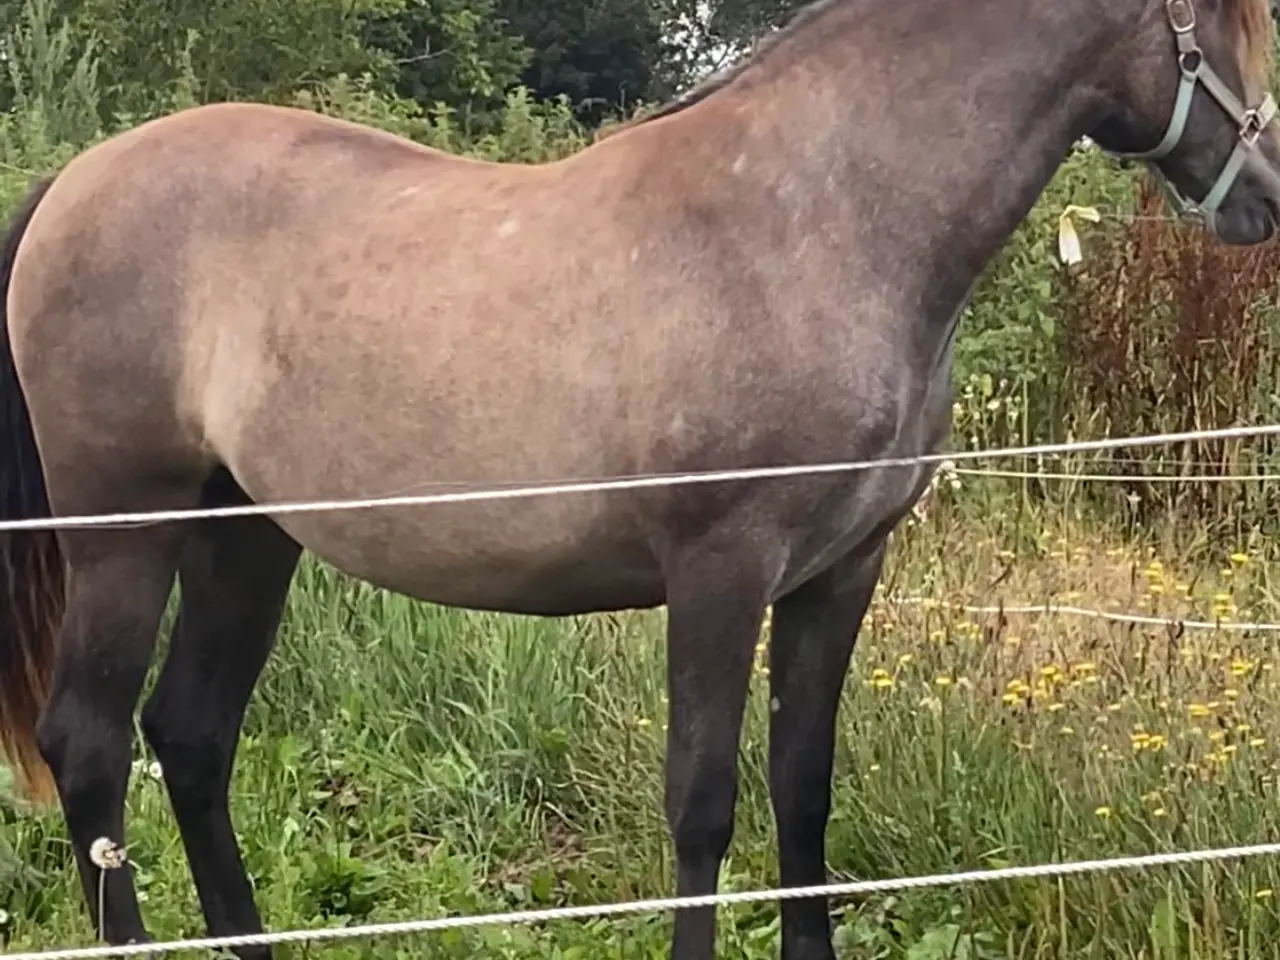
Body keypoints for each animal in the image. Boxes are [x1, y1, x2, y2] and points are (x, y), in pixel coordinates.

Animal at [2, 0, 1279, 957]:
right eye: (1227, 19)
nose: (1264, 195)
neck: (817, 219)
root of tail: (74, 180)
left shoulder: (838, 575)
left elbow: (801, 792)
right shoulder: (719, 568)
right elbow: (702, 804)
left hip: (246, 533)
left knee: (191, 734)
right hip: (127, 527)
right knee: (92, 743)